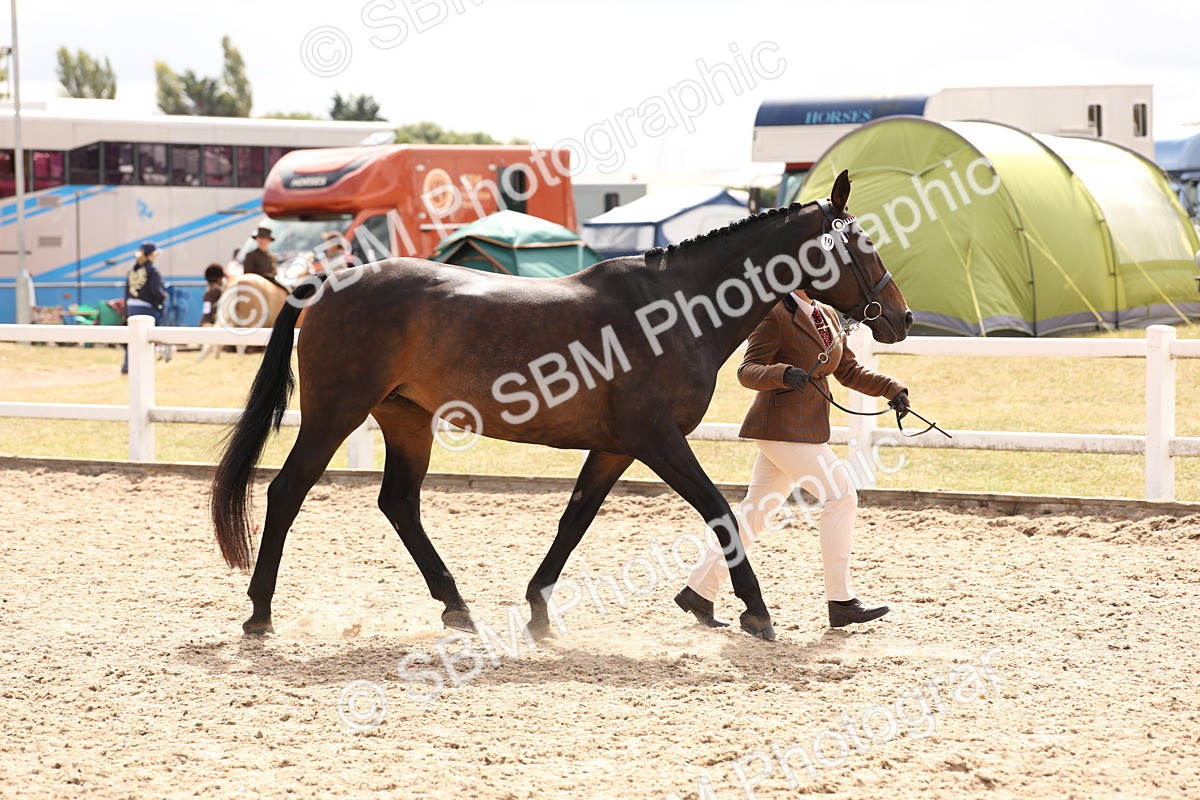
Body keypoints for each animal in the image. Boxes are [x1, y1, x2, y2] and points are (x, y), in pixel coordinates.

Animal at [210, 170, 911, 642]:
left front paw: (540, 609)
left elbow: (574, 521)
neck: (676, 310)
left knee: (399, 504)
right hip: (336, 413)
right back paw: (260, 612)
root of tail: (325, 282)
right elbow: (720, 513)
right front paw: (756, 612)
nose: (901, 318)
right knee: (288, 491)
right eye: (863, 243)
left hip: (407, 419)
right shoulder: (658, 441)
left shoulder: (614, 448)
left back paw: (458, 608)